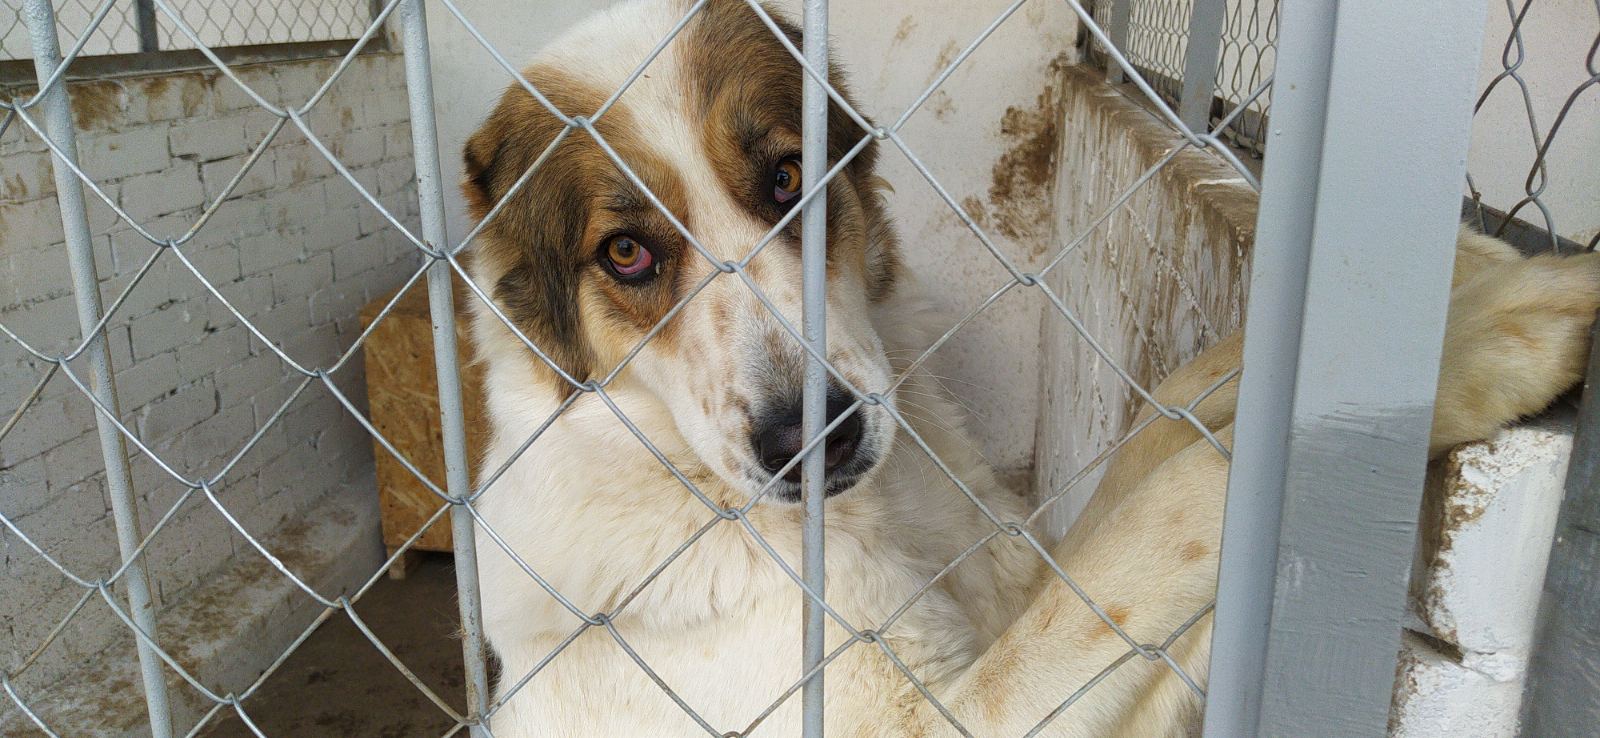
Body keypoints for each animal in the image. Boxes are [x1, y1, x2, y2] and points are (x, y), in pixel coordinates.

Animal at [454, 0, 1600, 729]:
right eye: (626, 255)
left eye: (786, 177)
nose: (809, 438)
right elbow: (1193, 496)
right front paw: (1466, 345)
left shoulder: (1029, 581)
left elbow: (1169, 426)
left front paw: (1478, 280)